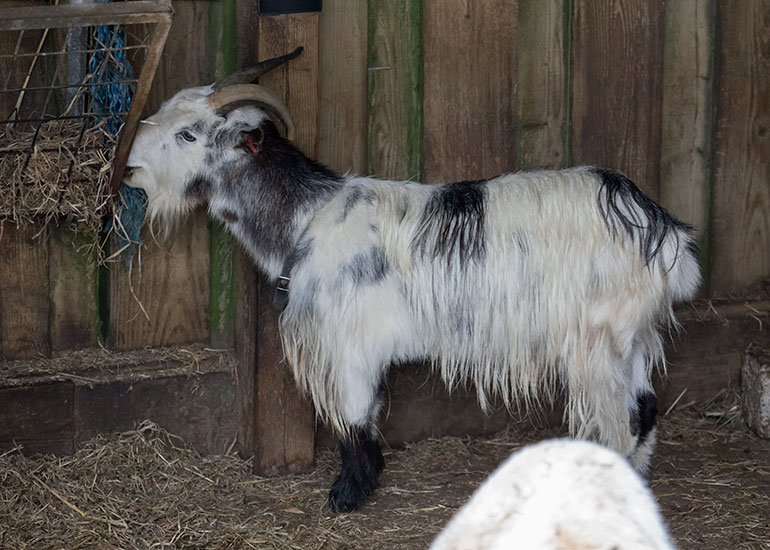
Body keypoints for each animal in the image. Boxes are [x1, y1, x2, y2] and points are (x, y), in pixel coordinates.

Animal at [122, 48, 700, 513]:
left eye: (188, 133)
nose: (129, 166)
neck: (311, 217)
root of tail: (661, 230)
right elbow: (371, 411)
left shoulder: (350, 346)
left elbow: (355, 419)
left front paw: (347, 495)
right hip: (632, 338)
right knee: (645, 408)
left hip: (600, 342)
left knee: (622, 418)